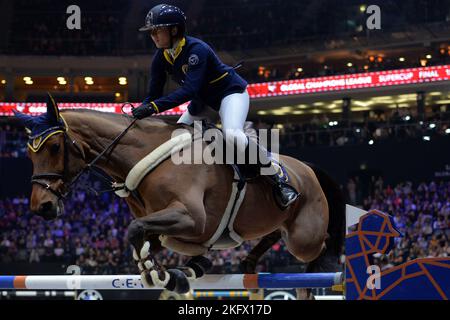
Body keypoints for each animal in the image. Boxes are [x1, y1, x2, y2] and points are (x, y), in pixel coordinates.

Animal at [14, 95, 344, 296]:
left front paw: (160, 274)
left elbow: (135, 231)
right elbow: (142, 240)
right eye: (28, 155)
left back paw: (313, 276)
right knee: (273, 233)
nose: (41, 207)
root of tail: (308, 168)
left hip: (303, 237)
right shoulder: (170, 228)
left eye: (54, 147)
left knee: (321, 246)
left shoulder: (191, 219)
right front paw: (177, 272)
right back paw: (248, 264)